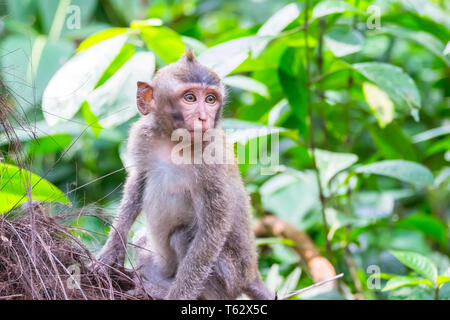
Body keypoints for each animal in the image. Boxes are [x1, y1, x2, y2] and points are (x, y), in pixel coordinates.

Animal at [96, 49, 272, 300]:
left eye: (210, 99)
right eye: (190, 98)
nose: (203, 118)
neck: (174, 142)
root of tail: (252, 275)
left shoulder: (213, 160)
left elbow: (213, 228)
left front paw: (177, 296)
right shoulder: (143, 135)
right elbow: (138, 181)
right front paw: (110, 253)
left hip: (230, 279)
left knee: (183, 237)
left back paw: (160, 290)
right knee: (142, 238)